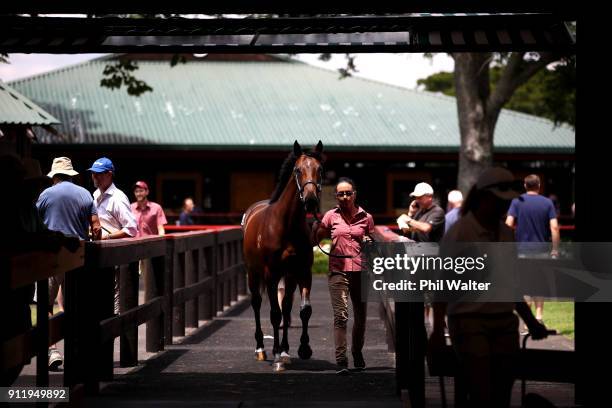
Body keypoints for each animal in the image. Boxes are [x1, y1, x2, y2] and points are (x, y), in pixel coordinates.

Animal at [241, 140, 322, 372]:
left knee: (286, 308)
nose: (311, 200)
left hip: (288, 276)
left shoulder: (301, 272)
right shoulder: (271, 274)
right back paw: (261, 349)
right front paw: (277, 355)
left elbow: (302, 310)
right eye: (298, 170)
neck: (286, 226)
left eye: (320, 169)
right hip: (253, 273)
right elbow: (275, 314)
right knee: (257, 303)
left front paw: (301, 349)